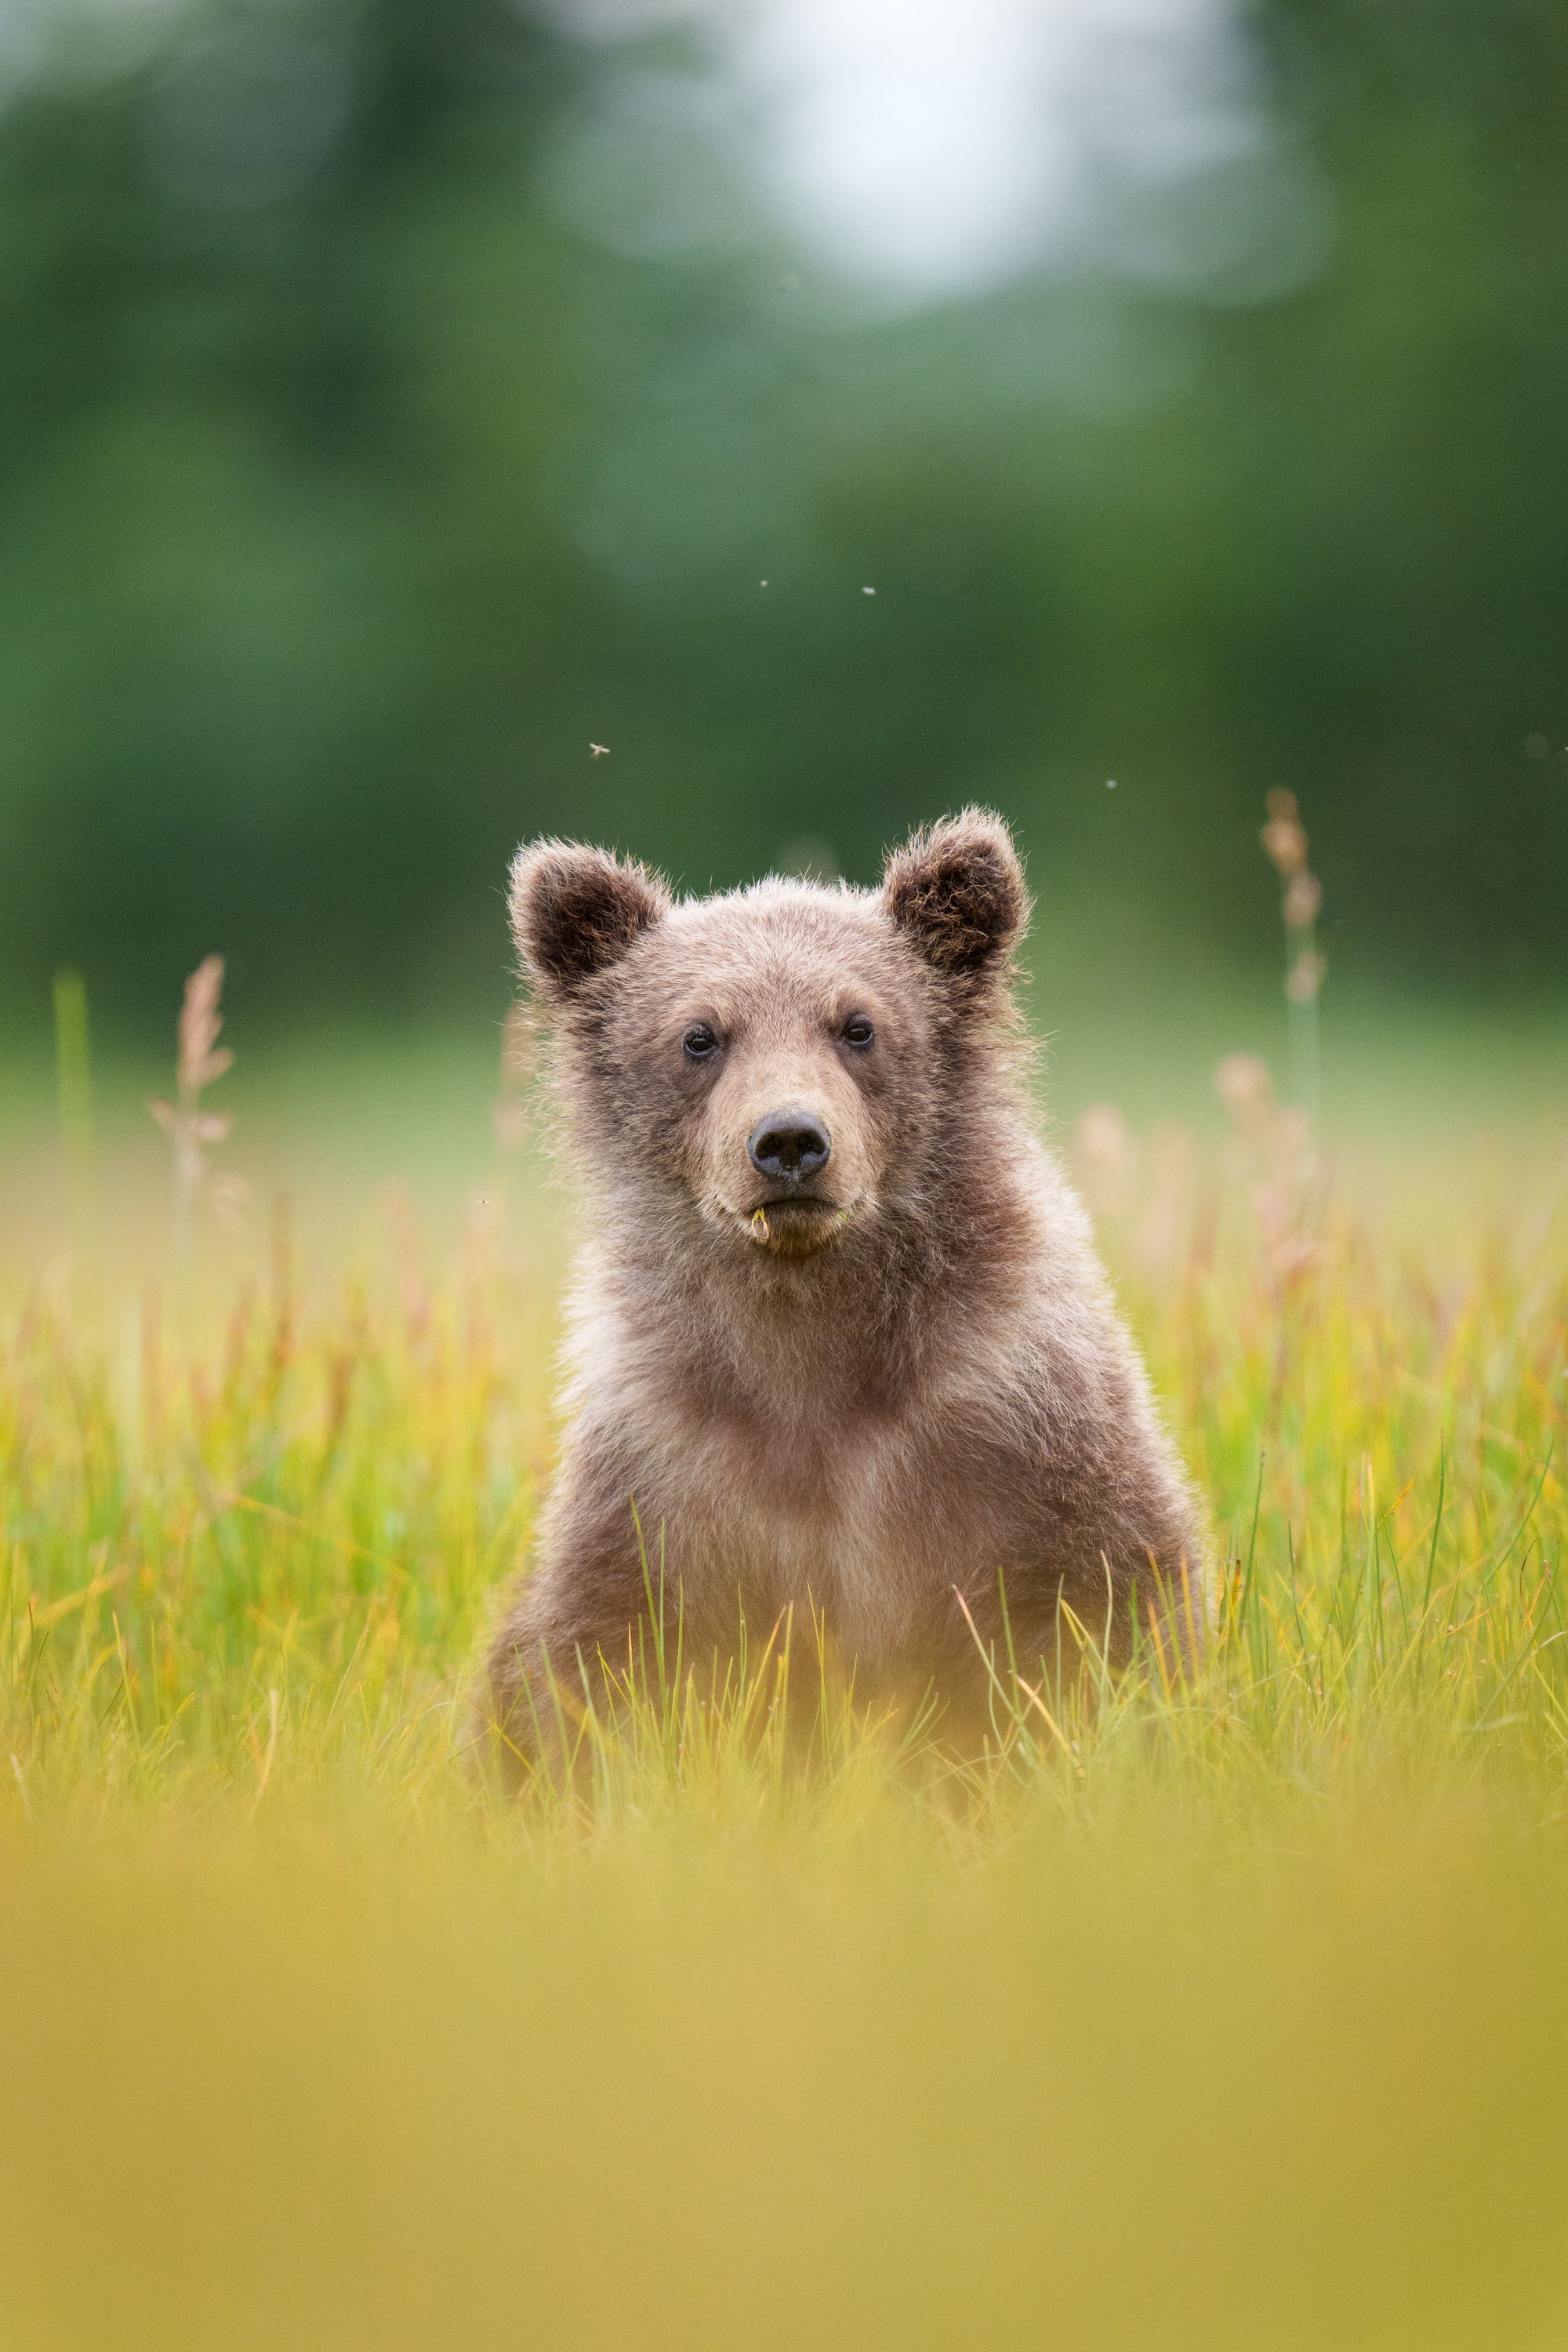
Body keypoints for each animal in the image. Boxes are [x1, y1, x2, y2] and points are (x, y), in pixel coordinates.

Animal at [478, 809, 1205, 1782]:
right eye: (700, 1036)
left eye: (856, 1025)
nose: (788, 1141)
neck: (811, 1345)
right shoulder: (663, 1460)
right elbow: (589, 1653)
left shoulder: (1011, 1420)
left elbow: (1111, 1596)